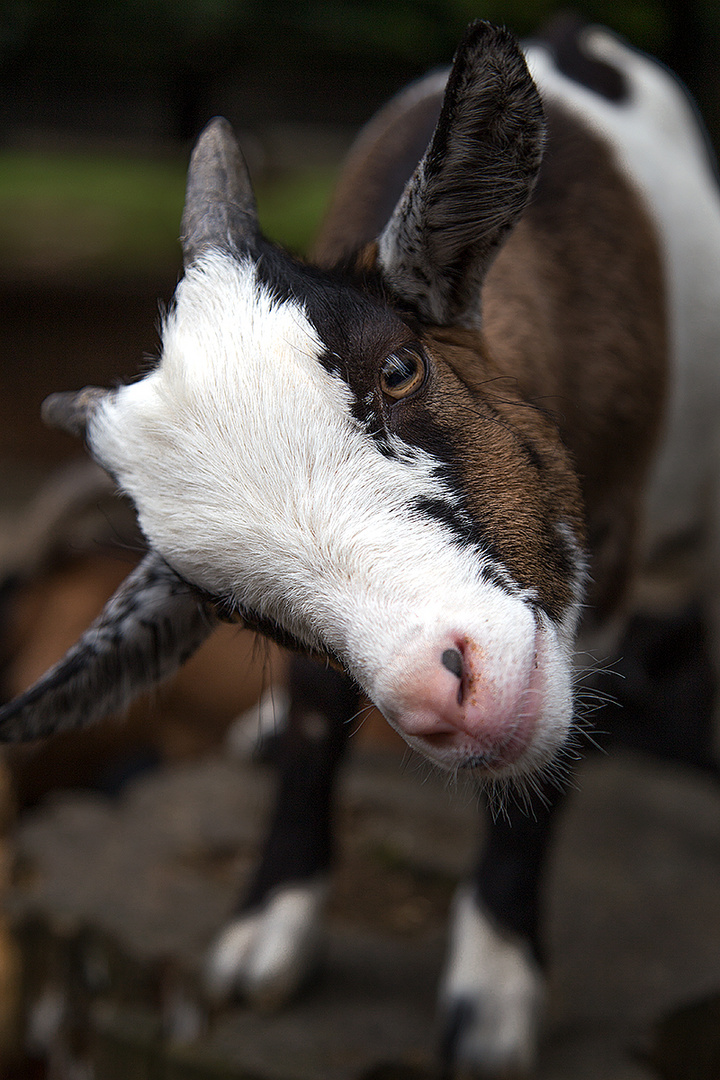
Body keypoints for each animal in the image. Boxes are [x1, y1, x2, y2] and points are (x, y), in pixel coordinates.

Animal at [1, 19, 720, 1080]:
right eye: (228, 606)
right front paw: (273, 921)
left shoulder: (611, 554)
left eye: (399, 367)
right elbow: (311, 710)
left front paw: (493, 993)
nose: (449, 696)